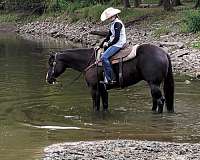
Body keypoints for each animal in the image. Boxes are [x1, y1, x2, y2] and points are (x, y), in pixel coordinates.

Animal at [45, 43, 173, 113]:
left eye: (51, 63)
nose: (48, 78)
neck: (90, 61)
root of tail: (164, 53)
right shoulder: (103, 88)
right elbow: (105, 105)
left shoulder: (94, 88)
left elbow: (95, 106)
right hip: (153, 85)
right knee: (155, 100)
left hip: (154, 83)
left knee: (160, 101)